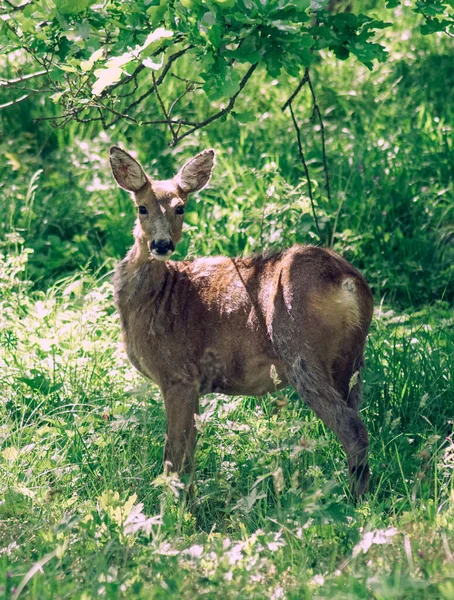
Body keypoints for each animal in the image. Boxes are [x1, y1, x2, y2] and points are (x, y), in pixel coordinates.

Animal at [109, 146, 372, 502]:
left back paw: (355, 503)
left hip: (300, 351)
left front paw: (173, 510)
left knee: (352, 428)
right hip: (350, 361)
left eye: (180, 207)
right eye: (142, 207)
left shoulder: (178, 375)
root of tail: (346, 280)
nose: (162, 245)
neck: (159, 296)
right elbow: (189, 454)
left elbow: (173, 456)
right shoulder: (195, 384)